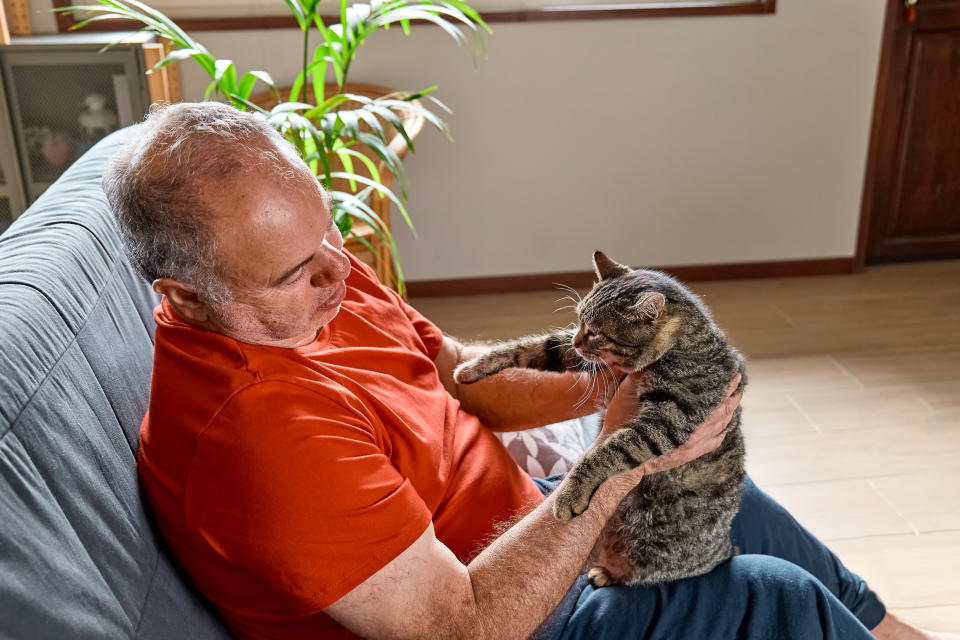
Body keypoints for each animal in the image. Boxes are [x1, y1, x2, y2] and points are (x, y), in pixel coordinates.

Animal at [454, 250, 748, 584]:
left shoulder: (668, 420)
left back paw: (606, 573)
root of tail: (724, 550)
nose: (577, 340)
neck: (680, 342)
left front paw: (571, 492)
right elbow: (531, 346)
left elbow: (607, 451)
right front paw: (473, 367)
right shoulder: (581, 357)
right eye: (580, 319)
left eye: (595, 331)